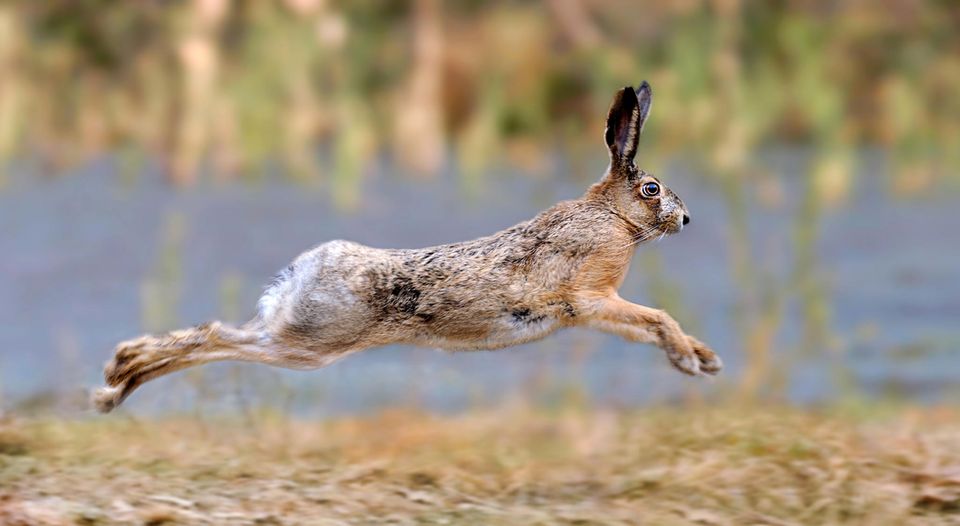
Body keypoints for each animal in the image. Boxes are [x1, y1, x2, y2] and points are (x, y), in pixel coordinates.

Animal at [93, 81, 722, 413]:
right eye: (651, 189)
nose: (688, 218)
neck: (610, 215)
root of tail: (302, 271)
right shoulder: (589, 297)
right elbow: (656, 317)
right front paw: (691, 361)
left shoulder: (595, 310)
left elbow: (649, 325)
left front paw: (705, 358)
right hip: (309, 343)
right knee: (220, 338)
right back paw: (117, 381)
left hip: (301, 338)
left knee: (219, 337)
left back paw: (120, 378)